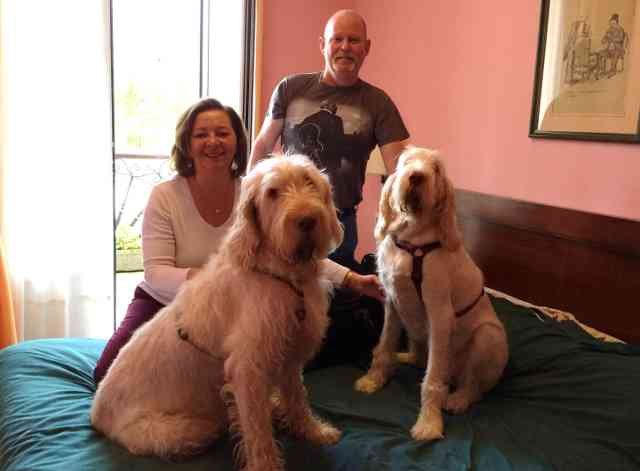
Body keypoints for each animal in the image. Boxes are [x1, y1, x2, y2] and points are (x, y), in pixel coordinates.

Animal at [90, 155, 344, 471]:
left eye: (308, 181)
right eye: (273, 193)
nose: (307, 220)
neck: (284, 276)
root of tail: (96, 414)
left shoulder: (289, 354)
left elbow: (298, 398)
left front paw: (313, 431)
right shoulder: (248, 368)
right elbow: (257, 430)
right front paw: (266, 464)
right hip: (183, 429)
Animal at [352, 147, 508, 442]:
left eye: (435, 168)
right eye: (405, 162)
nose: (416, 176)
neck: (411, 241)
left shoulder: (439, 315)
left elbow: (433, 381)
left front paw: (429, 423)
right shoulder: (392, 303)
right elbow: (384, 346)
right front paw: (374, 379)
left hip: (488, 336)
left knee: (475, 386)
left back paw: (458, 398)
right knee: (418, 357)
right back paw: (404, 357)